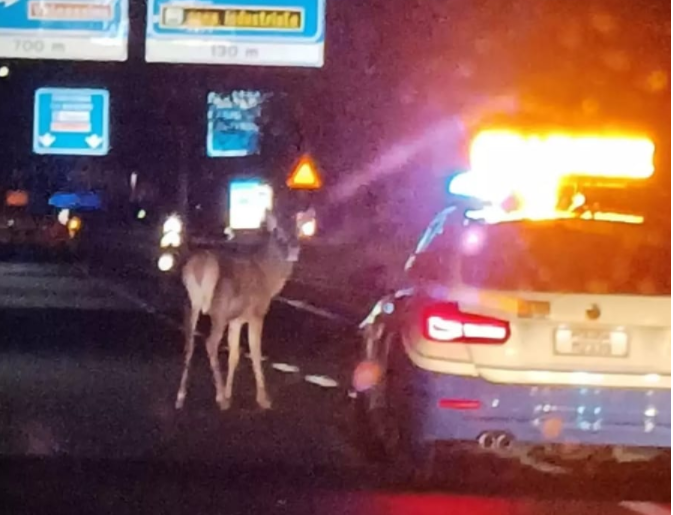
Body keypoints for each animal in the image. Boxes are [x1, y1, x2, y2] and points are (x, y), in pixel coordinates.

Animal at [176, 210, 300, 411]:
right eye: (278, 233)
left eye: (297, 231)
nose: (295, 248)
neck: (269, 279)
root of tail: (199, 267)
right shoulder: (256, 314)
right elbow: (255, 351)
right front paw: (263, 398)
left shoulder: (236, 319)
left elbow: (234, 354)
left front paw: (229, 392)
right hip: (218, 313)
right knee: (210, 343)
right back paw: (220, 399)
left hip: (190, 306)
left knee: (189, 343)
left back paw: (181, 397)